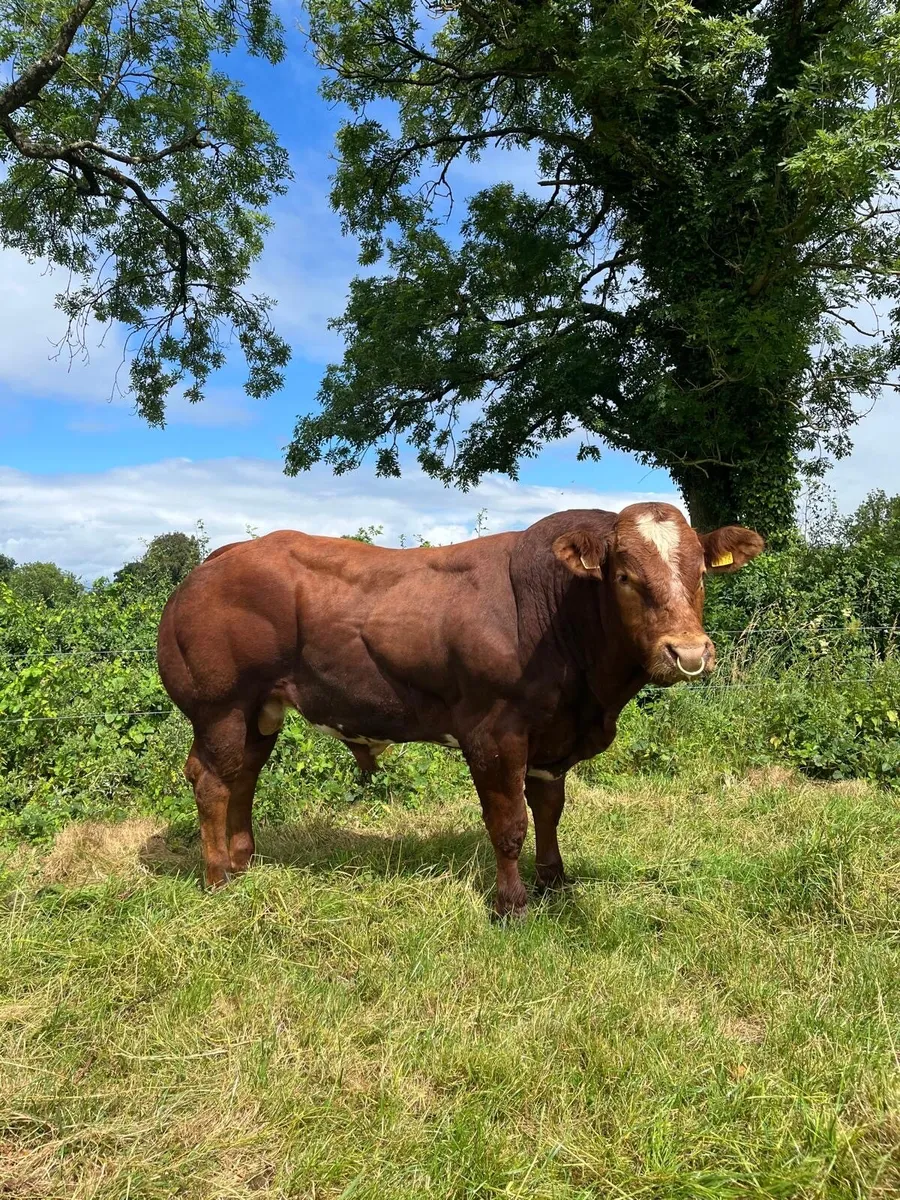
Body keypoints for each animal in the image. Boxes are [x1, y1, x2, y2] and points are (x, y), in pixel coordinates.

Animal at [157, 502, 763, 917]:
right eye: (624, 577)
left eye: (701, 574)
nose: (689, 653)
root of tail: (217, 559)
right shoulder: (495, 733)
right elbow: (510, 822)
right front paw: (511, 904)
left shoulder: (552, 738)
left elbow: (549, 810)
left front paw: (554, 881)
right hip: (220, 706)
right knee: (212, 779)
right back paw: (217, 877)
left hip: (262, 709)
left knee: (244, 776)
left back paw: (243, 862)